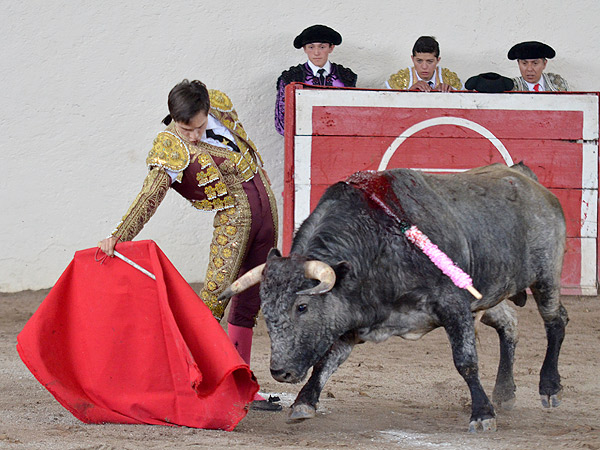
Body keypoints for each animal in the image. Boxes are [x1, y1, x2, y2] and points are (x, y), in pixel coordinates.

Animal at [220, 163, 568, 432]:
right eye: (266, 310)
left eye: (302, 306)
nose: (280, 372)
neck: (377, 244)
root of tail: (525, 177)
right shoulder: (351, 321)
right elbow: (327, 361)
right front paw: (304, 403)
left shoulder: (453, 304)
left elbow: (466, 361)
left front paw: (482, 415)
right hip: (486, 296)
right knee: (510, 324)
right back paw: (506, 392)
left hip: (546, 278)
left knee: (556, 320)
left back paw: (549, 387)